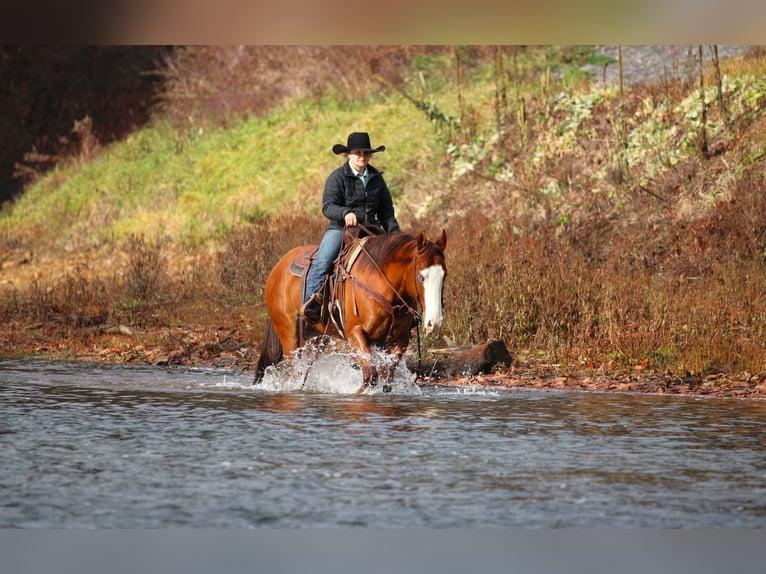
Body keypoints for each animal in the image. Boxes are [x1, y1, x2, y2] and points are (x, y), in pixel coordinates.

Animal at [253, 229, 447, 393]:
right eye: (420, 277)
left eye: (444, 275)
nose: (435, 322)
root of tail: (278, 267)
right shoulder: (355, 333)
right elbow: (370, 375)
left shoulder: (400, 339)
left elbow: (386, 379)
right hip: (289, 332)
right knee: (293, 368)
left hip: (315, 337)